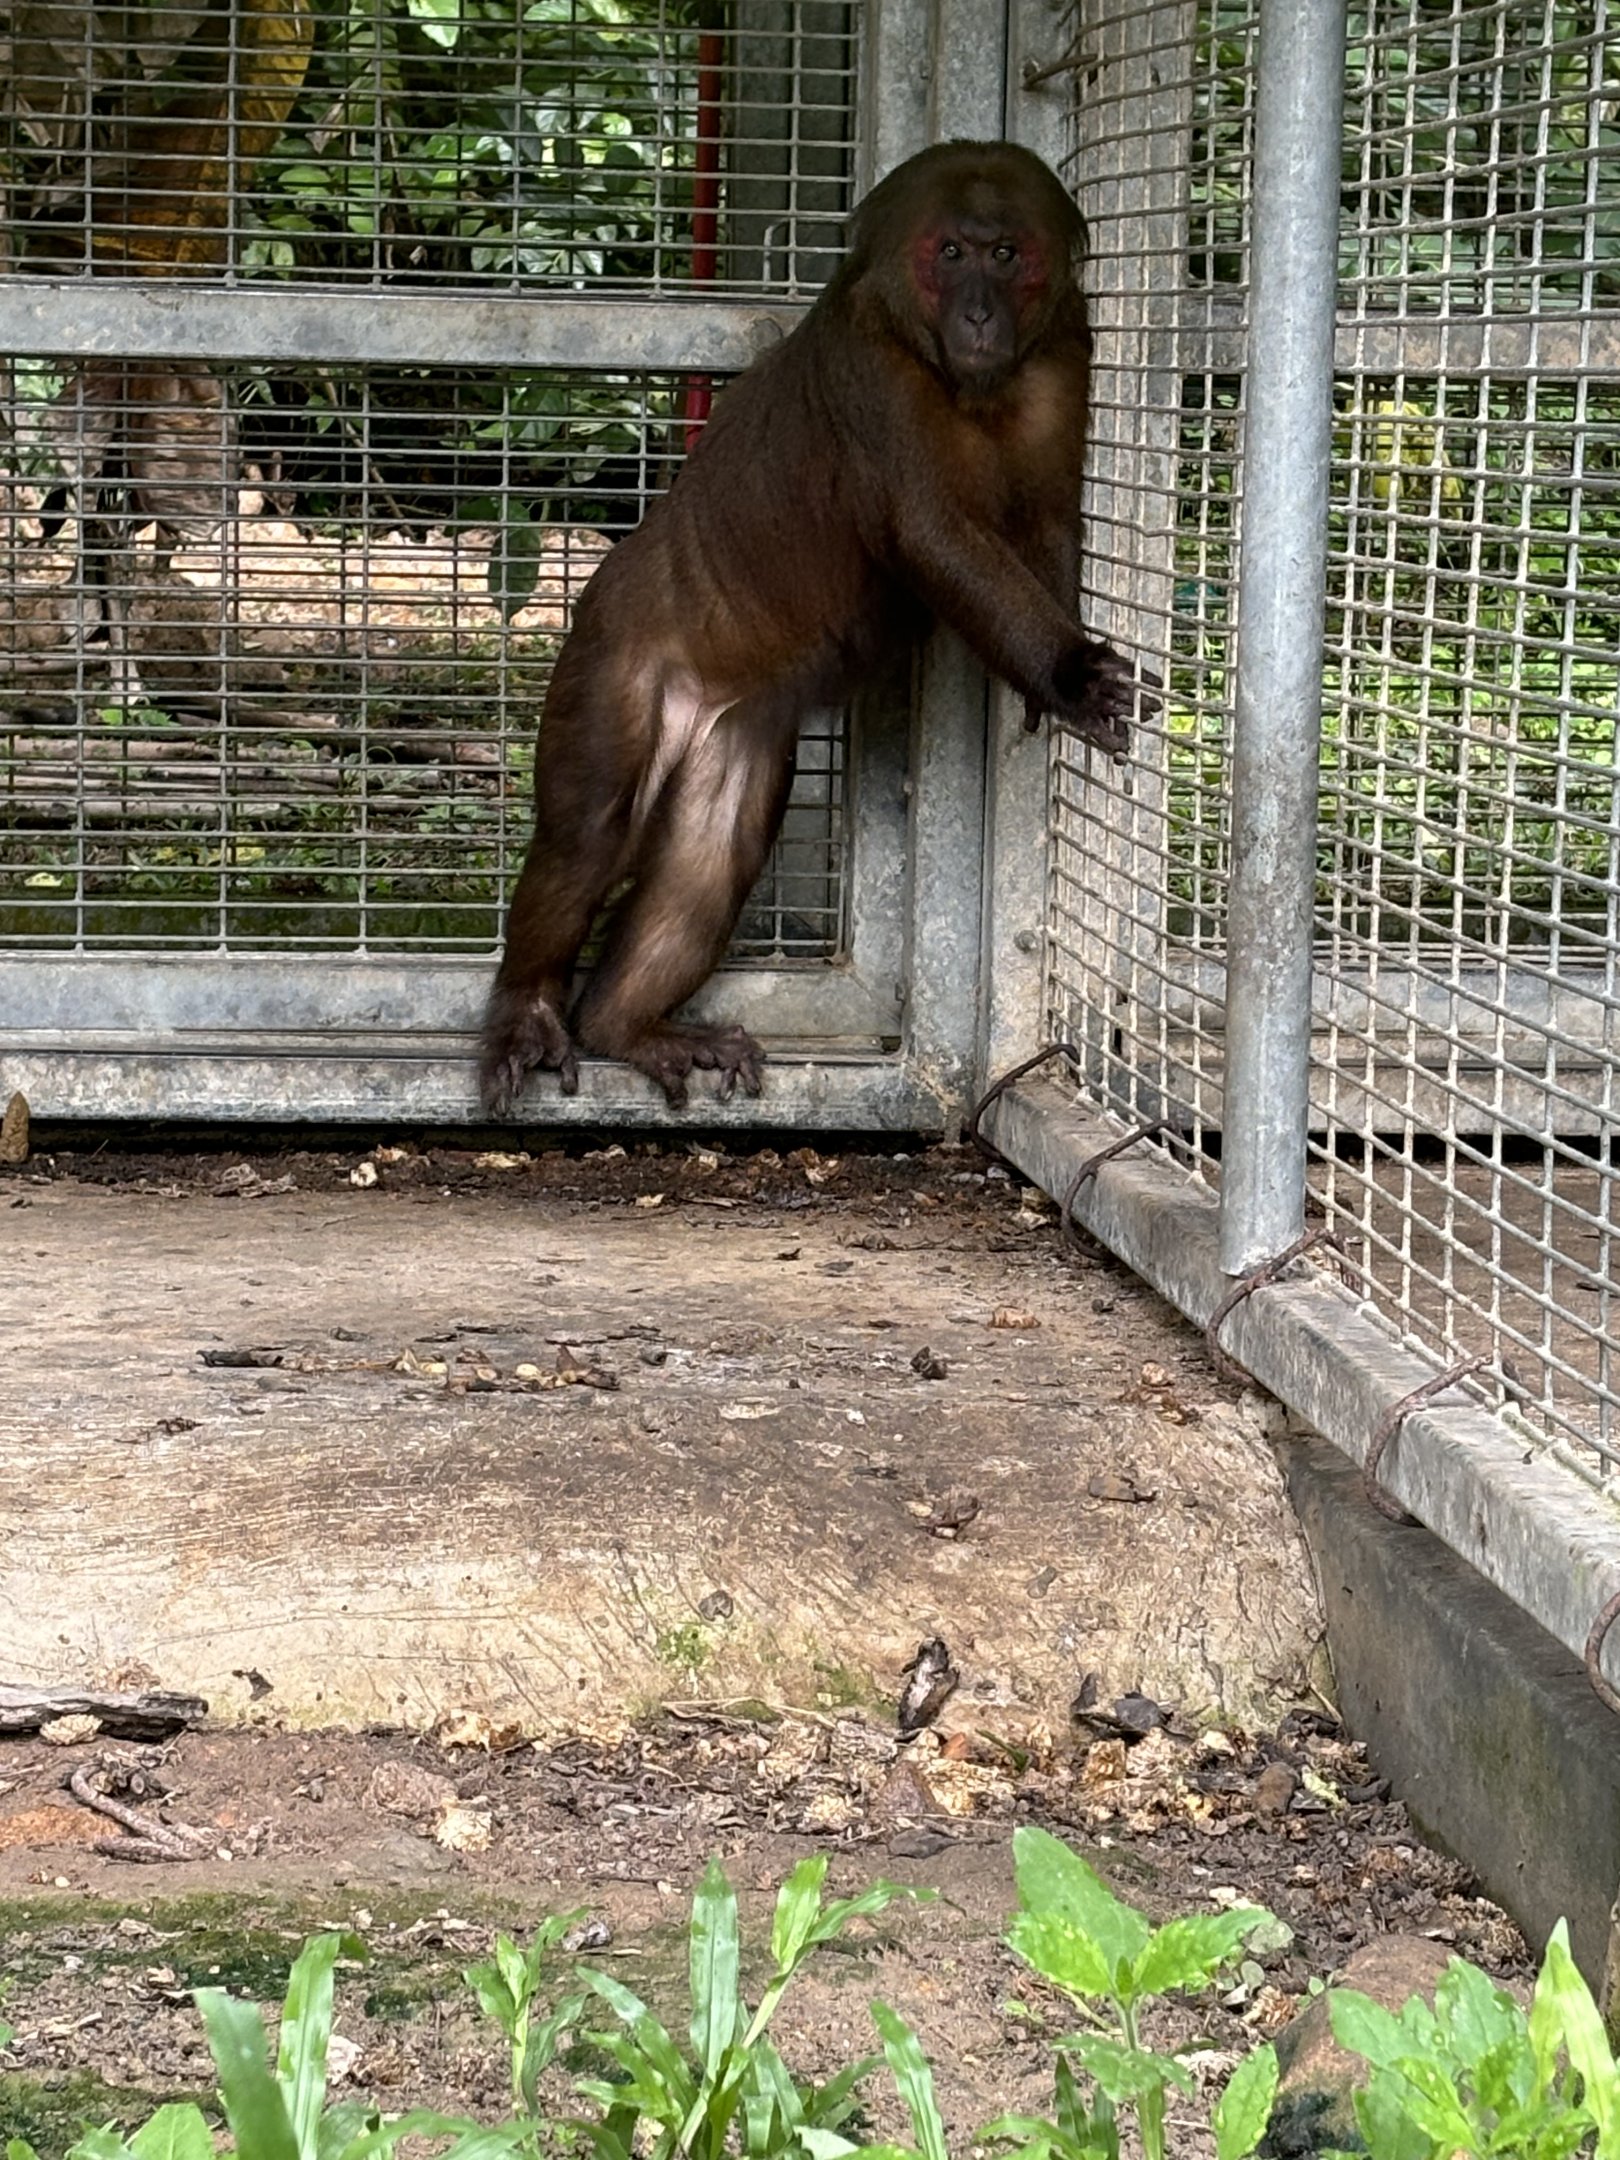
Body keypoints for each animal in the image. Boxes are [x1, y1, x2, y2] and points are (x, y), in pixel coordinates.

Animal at [481, 137, 1139, 1114]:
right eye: (950, 254)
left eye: (1005, 254)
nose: (980, 310)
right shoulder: (873, 370)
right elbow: (934, 535)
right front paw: (1068, 673)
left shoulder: (1065, 353)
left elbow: (1050, 517)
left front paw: (1049, 679)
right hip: (616, 654)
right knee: (588, 835)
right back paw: (529, 1009)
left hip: (732, 722)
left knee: (711, 855)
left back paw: (622, 1026)